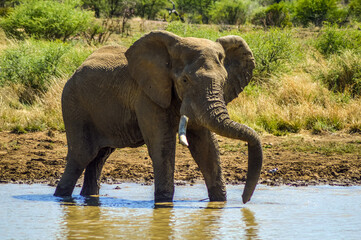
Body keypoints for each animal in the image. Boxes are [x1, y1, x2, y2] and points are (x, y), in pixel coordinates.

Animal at [53, 29, 262, 203]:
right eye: (184, 80)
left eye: (224, 81)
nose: (244, 200)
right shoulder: (147, 95)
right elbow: (162, 146)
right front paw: (164, 204)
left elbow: (206, 147)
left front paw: (219, 204)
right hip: (73, 105)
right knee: (82, 155)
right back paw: (61, 197)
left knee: (99, 157)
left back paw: (89, 197)